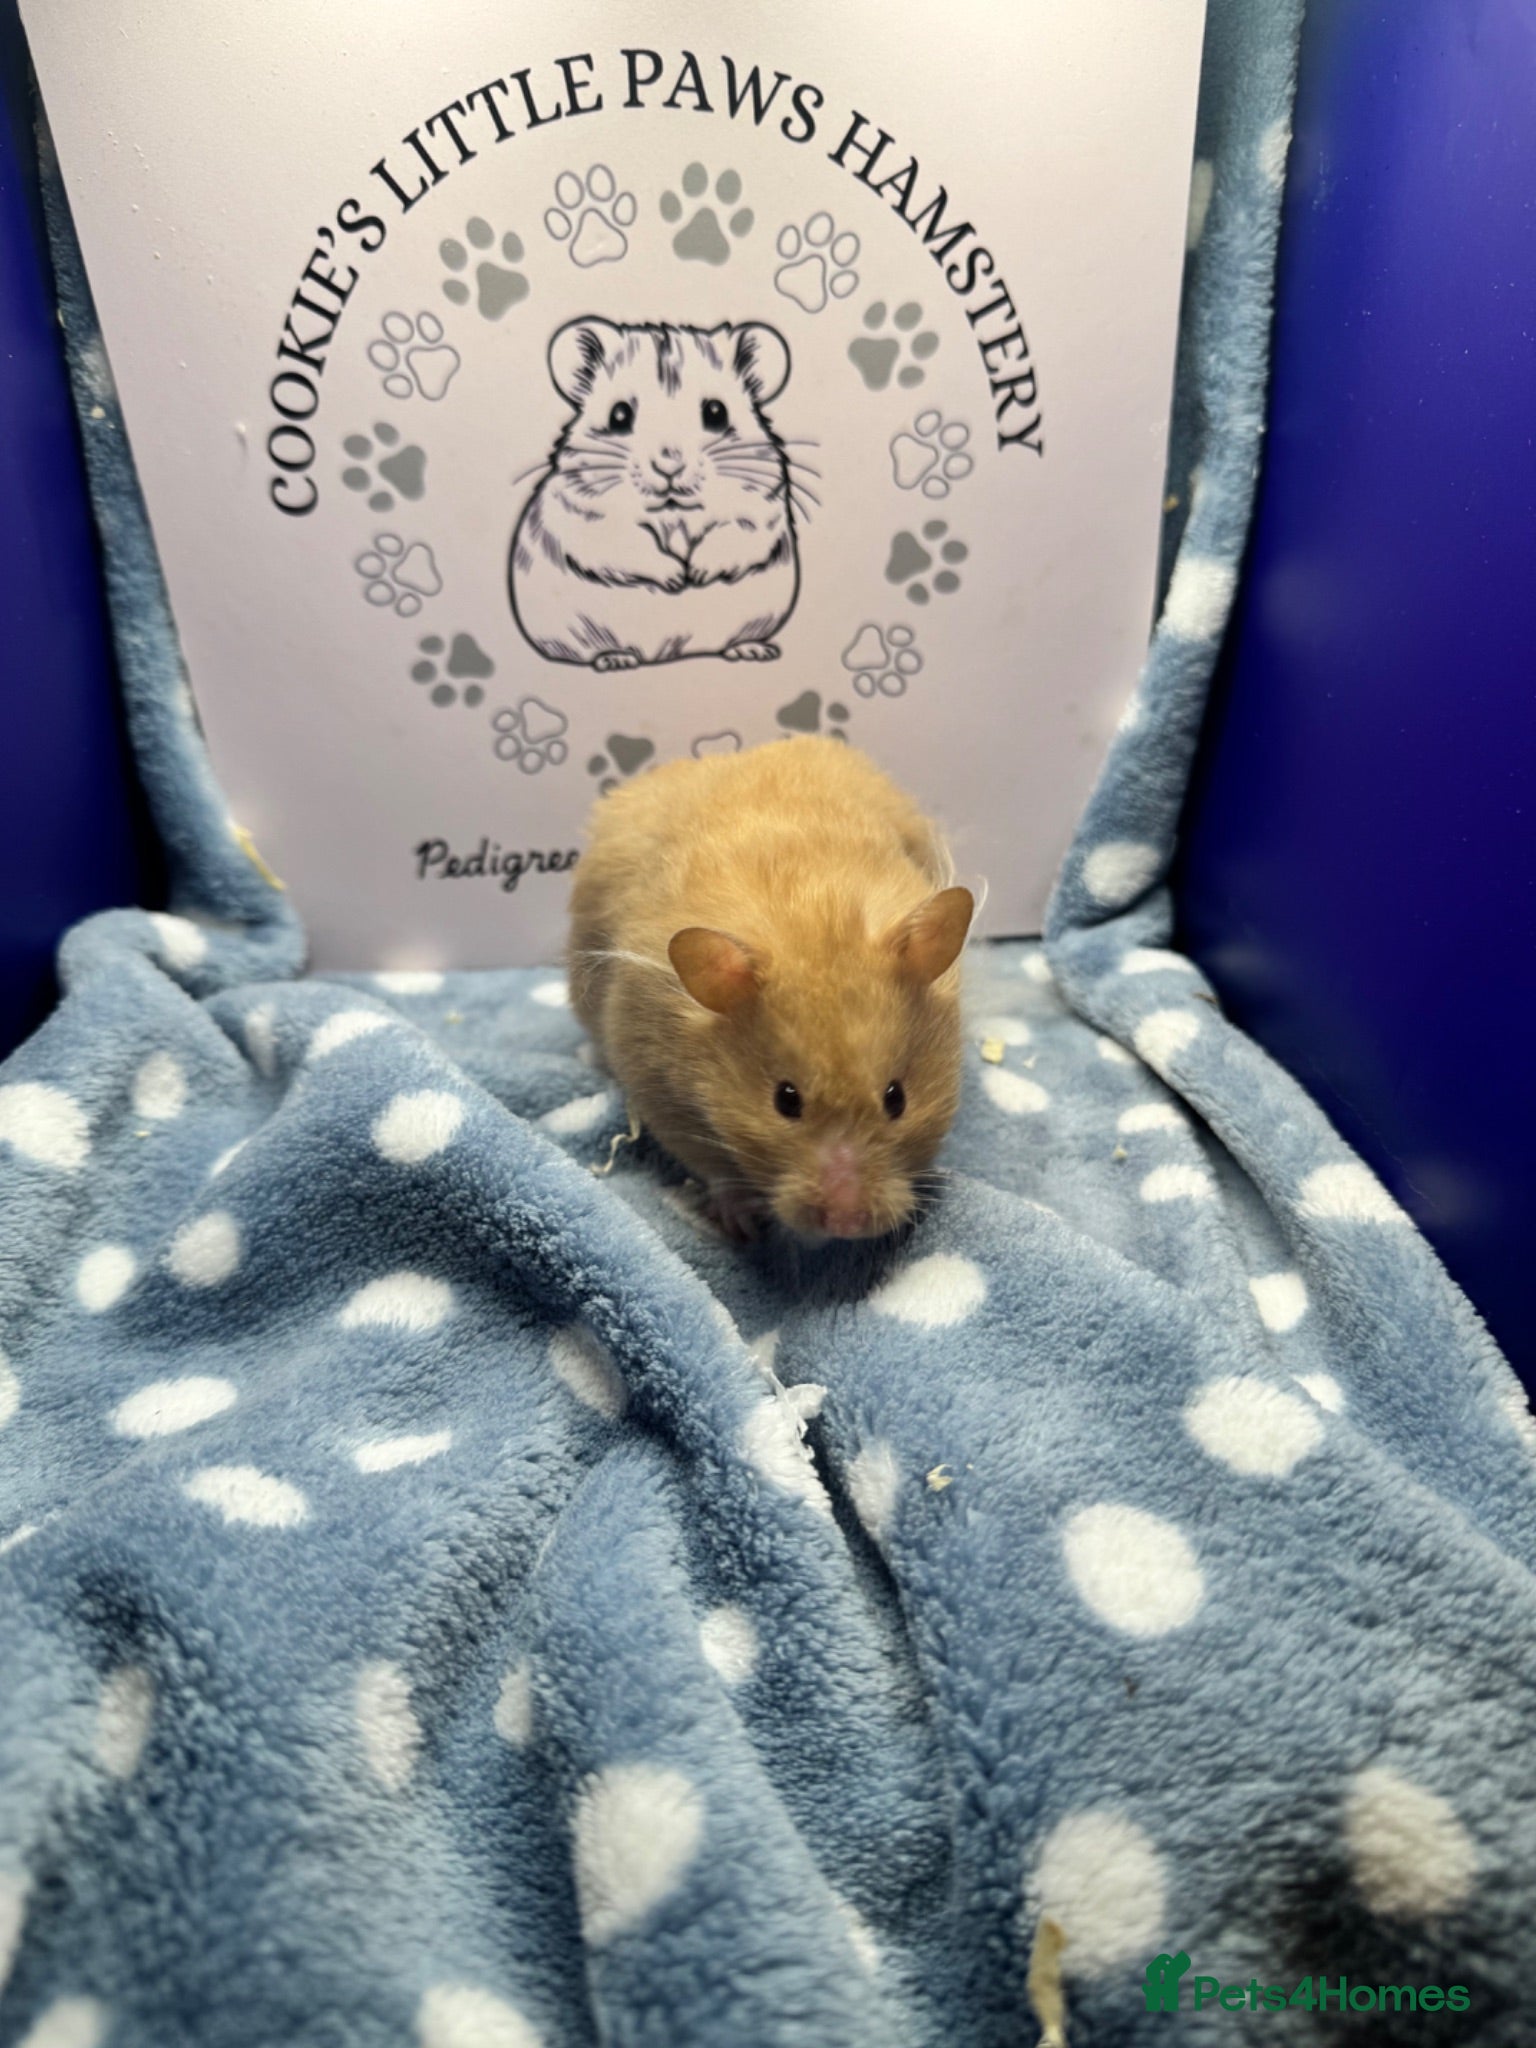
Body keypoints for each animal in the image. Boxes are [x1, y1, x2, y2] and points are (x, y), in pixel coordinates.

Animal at [510, 318, 802, 671]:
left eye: (716, 412)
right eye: (619, 415)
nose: (669, 465)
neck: (672, 511)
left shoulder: (761, 508)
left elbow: (734, 533)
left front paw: (696, 575)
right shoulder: (587, 517)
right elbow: (629, 544)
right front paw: (677, 578)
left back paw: (752, 650)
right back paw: (615, 659)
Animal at [568, 737, 974, 1242]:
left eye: (896, 1098)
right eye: (786, 1100)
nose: (846, 1223)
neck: (813, 916)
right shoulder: (652, 1077)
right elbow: (709, 1163)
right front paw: (742, 1225)